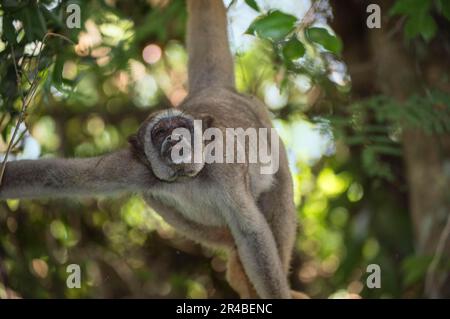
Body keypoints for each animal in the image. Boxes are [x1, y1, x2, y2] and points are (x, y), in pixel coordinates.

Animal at [0, 0, 306, 300]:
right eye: (160, 133)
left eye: (181, 127)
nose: (175, 138)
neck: (186, 178)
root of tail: (215, 91)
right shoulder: (135, 168)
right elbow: (51, 177)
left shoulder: (223, 164)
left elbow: (251, 231)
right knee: (163, 203)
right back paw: (233, 259)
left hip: (269, 136)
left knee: (277, 193)